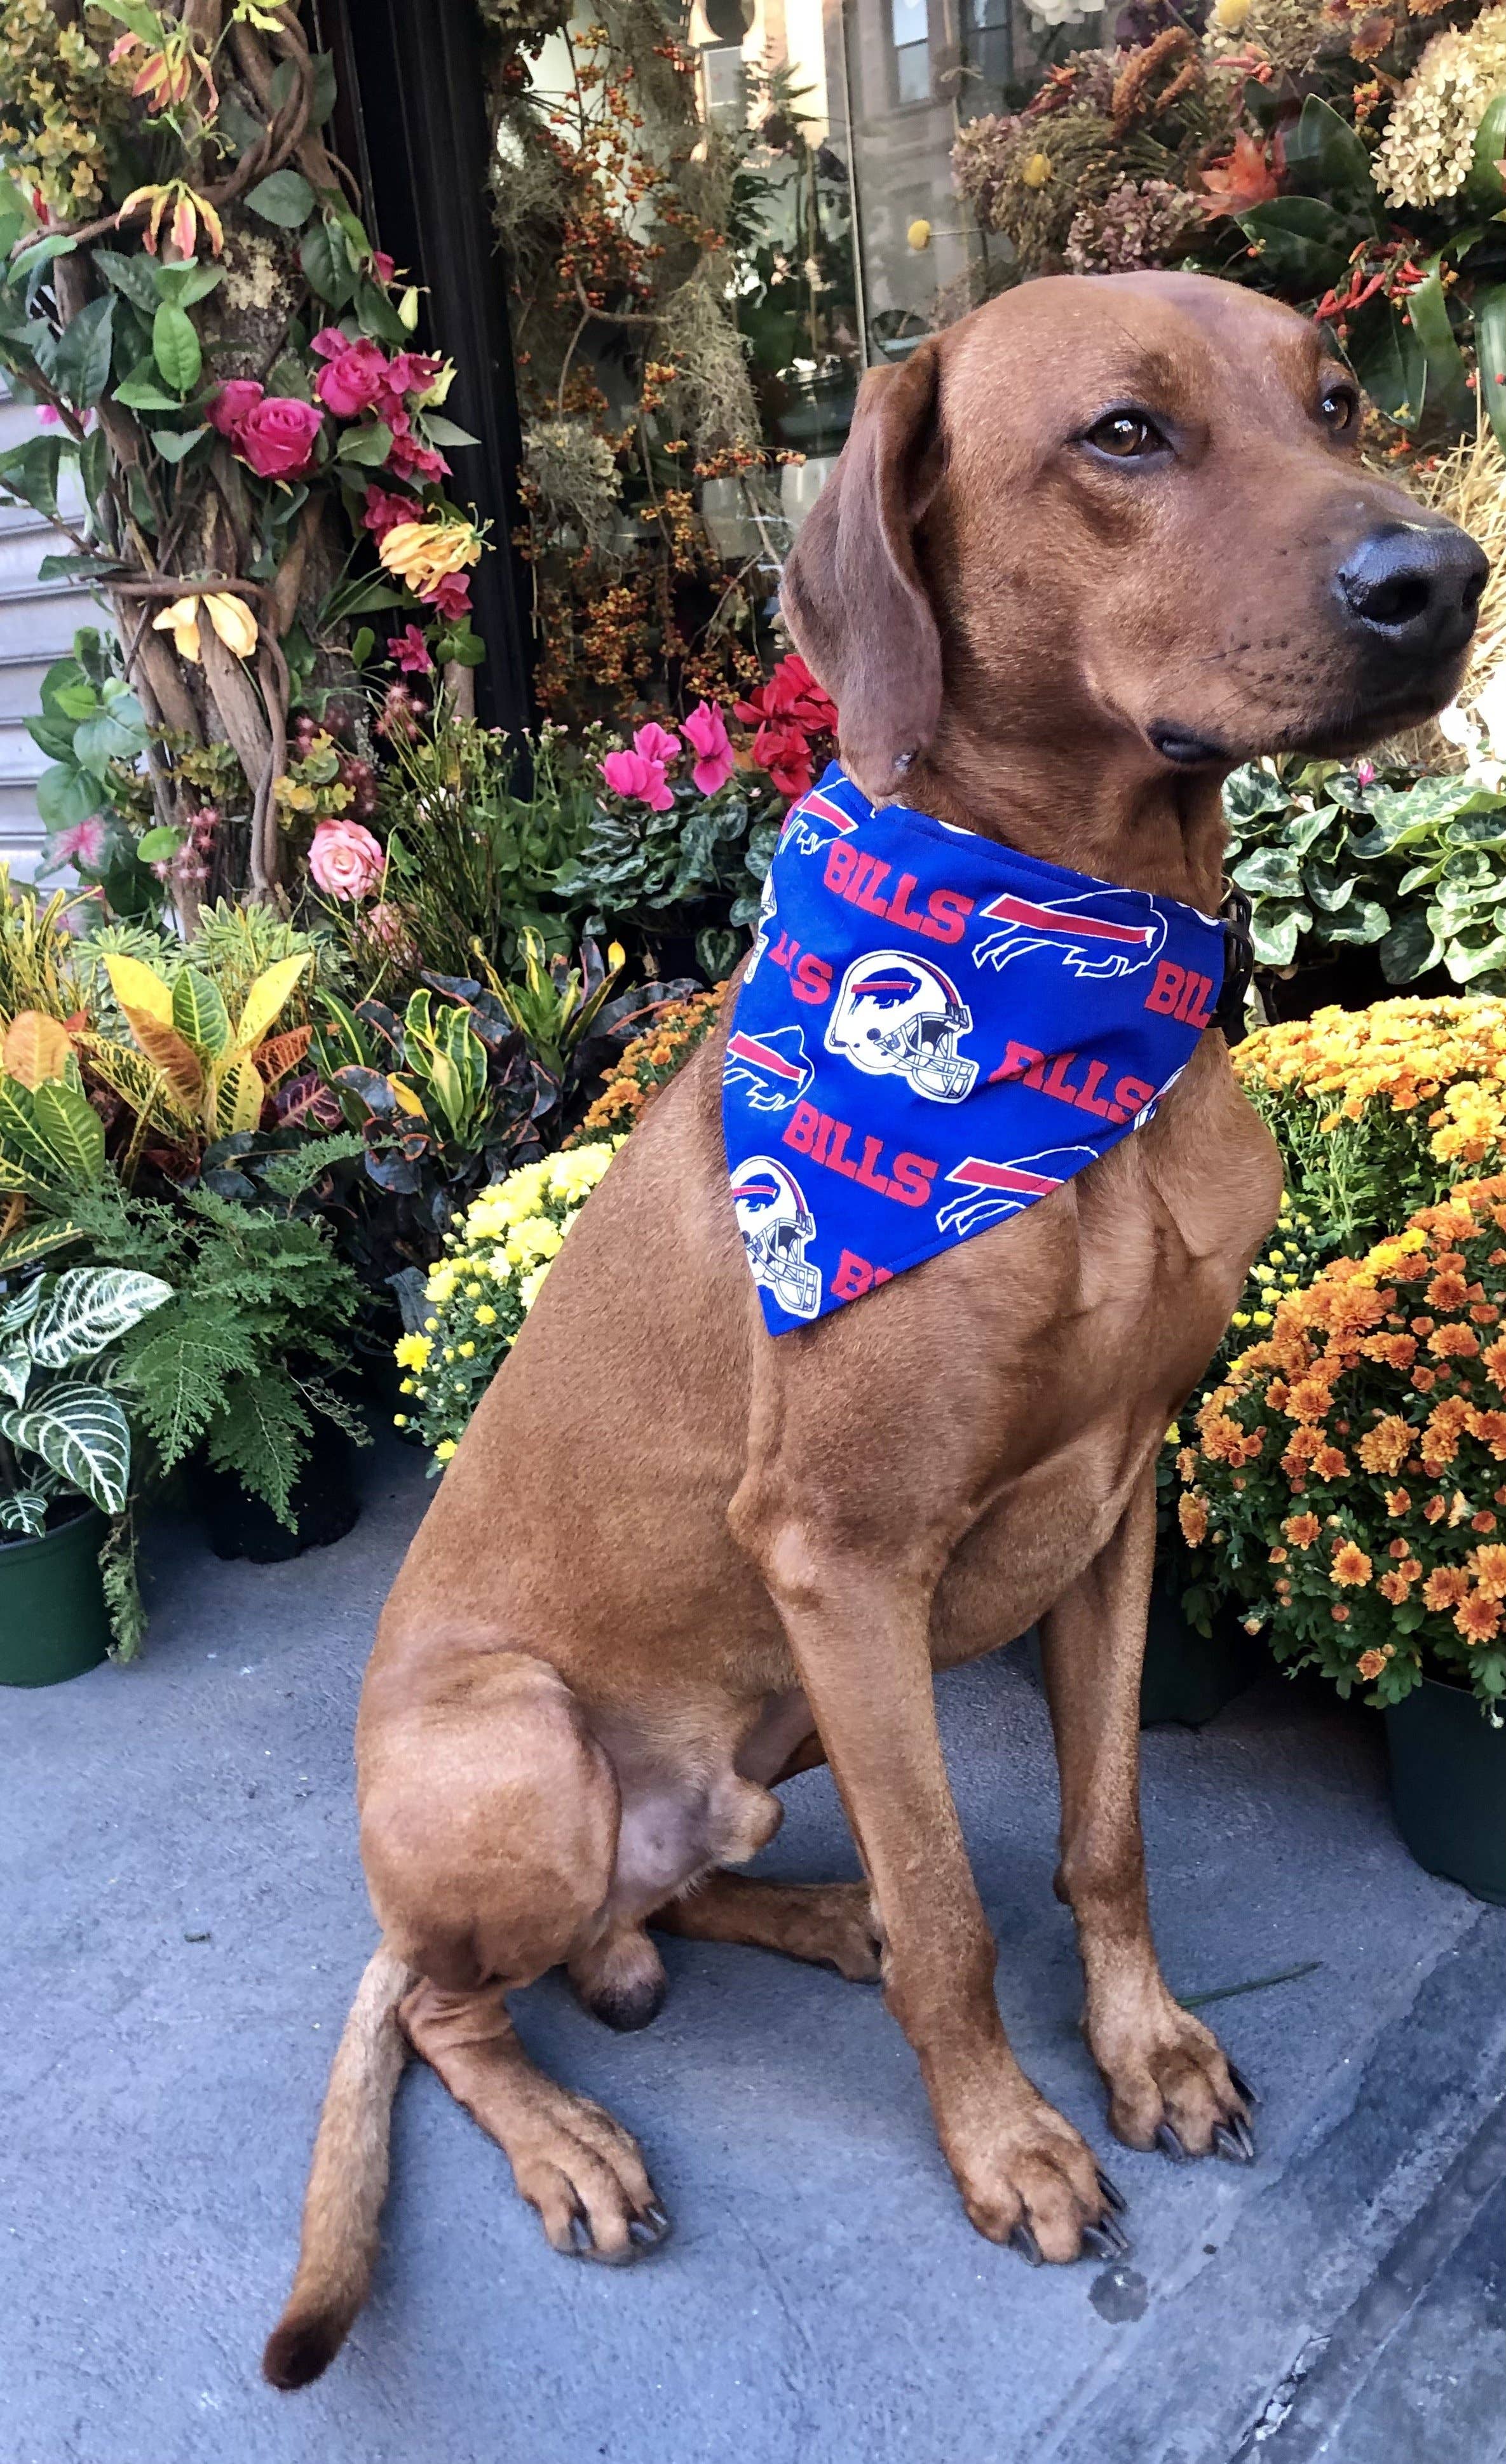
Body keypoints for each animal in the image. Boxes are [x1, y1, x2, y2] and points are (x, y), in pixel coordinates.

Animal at [262, 269, 1488, 2385]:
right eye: (1123, 434)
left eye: (1334, 398)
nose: (1444, 574)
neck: (1070, 977)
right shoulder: (843, 1556)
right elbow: (955, 1906)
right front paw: (1008, 2138)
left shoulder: (1112, 1506)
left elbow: (1101, 1833)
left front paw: (1143, 2046)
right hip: (527, 1756)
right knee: (448, 1999)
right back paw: (570, 2129)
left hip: (775, 1729)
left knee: (658, 1906)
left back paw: (805, 1915)